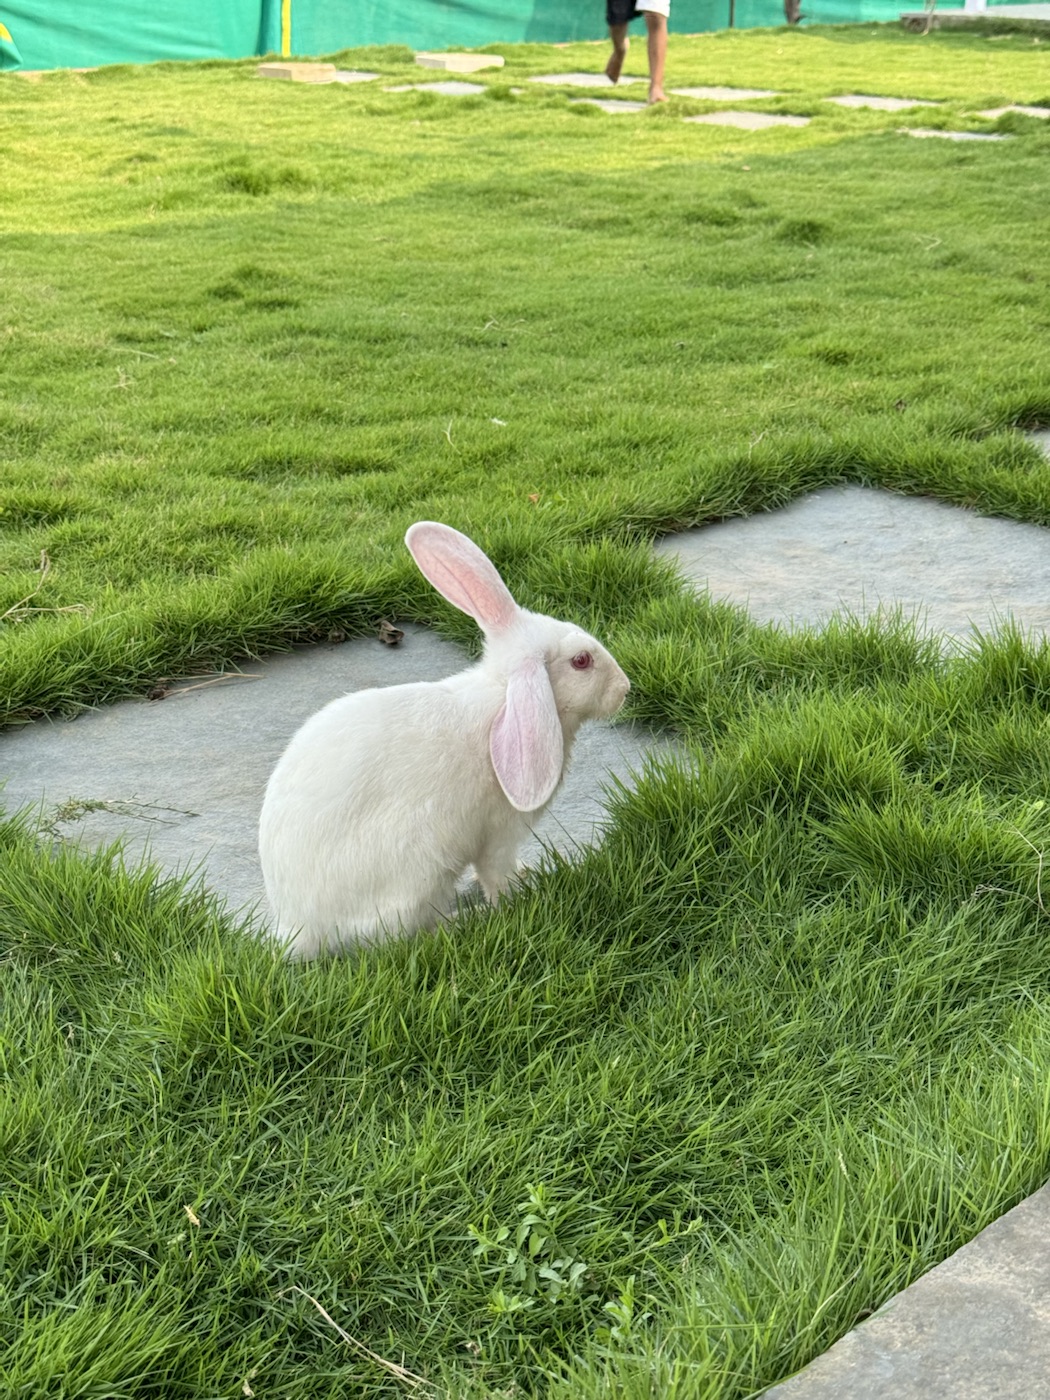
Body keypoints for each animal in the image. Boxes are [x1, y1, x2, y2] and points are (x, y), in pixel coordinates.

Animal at [258, 521, 631, 958]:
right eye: (581, 661)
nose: (625, 689)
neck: (504, 698)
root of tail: (298, 928)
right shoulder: (498, 836)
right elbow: (497, 875)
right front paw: (519, 893)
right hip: (419, 873)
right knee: (406, 934)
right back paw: (464, 920)